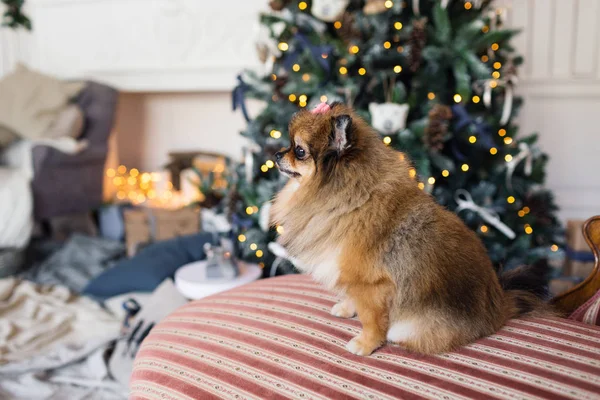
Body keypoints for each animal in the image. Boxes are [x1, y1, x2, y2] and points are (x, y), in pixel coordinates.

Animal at [270, 101, 552, 356]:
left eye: (299, 150)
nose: (276, 154)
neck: (350, 201)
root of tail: (499, 306)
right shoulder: (349, 273)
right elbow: (352, 295)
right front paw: (347, 308)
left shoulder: (372, 285)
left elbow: (372, 320)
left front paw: (366, 344)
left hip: (409, 327)